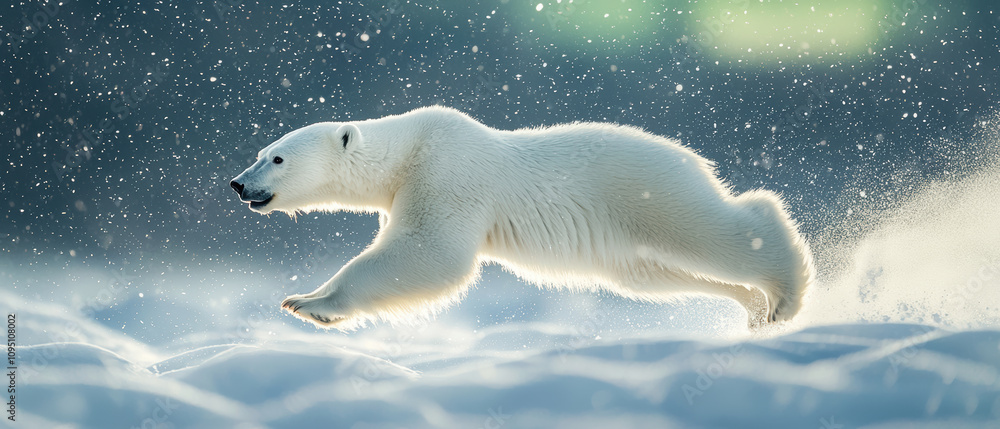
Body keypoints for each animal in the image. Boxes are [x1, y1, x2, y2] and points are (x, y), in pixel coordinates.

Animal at [230, 106, 815, 330]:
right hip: (625, 243)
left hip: (648, 194)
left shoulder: (447, 176)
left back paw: (784, 296)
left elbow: (431, 255)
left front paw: (311, 303)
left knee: (714, 230)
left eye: (276, 158)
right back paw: (751, 308)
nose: (238, 184)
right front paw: (304, 298)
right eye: (261, 151)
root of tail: (693, 157)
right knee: (653, 275)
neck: (406, 152)